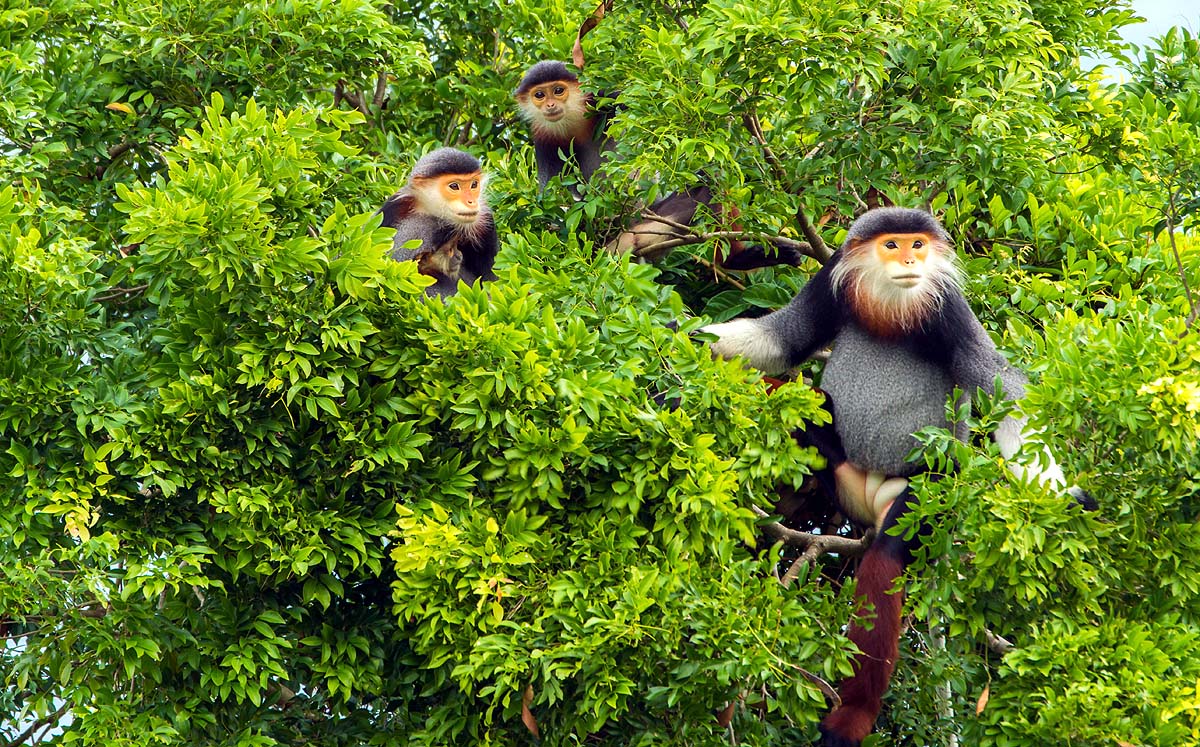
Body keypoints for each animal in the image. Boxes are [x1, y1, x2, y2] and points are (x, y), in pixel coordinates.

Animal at [699, 207, 1092, 747]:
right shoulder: (833, 280)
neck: (888, 307)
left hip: (923, 492)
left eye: (917, 244)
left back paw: (851, 717)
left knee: (887, 554)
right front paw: (677, 333)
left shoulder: (948, 308)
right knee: (796, 396)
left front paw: (1060, 495)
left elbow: (1002, 389)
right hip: (838, 475)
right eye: (892, 245)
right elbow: (781, 344)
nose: (910, 259)